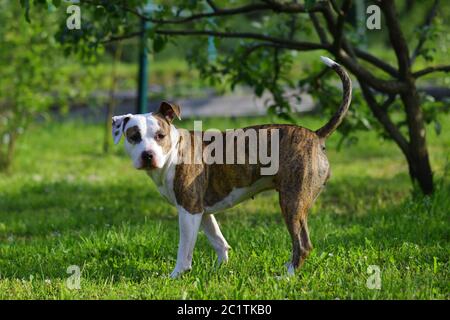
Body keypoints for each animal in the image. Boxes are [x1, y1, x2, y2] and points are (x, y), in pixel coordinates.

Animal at [111, 57, 352, 278]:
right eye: (133, 137)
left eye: (160, 136)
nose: (147, 155)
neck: (174, 152)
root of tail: (316, 135)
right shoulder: (200, 210)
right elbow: (218, 240)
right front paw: (220, 269)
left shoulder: (188, 211)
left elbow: (184, 250)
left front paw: (176, 275)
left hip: (292, 201)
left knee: (302, 244)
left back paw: (287, 275)